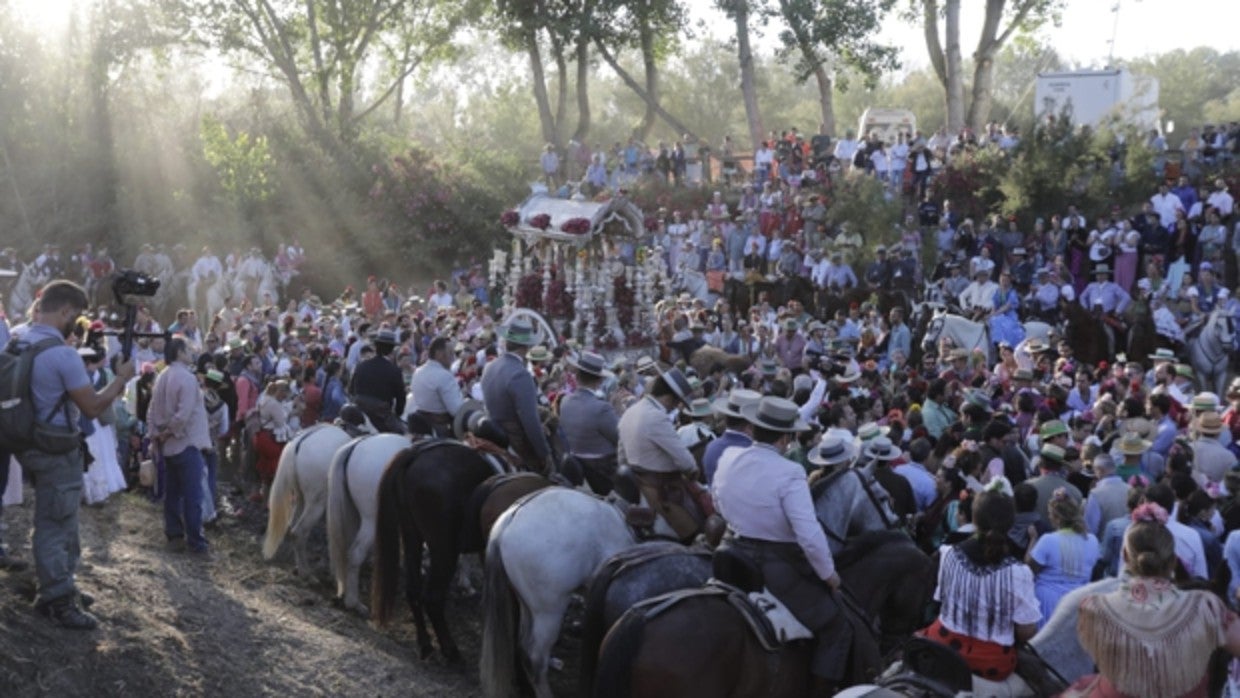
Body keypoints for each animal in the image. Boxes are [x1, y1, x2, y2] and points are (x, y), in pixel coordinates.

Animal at [260, 426, 359, 580]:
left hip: (301, 498)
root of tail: (297, 443)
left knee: (293, 529)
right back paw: (305, 572)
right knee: (298, 532)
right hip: (316, 504)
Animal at [369, 438, 500, 664]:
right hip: (443, 549)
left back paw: (425, 645)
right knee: (432, 598)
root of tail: (415, 453)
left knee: (413, 590)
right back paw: (451, 652)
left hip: (411, 535)